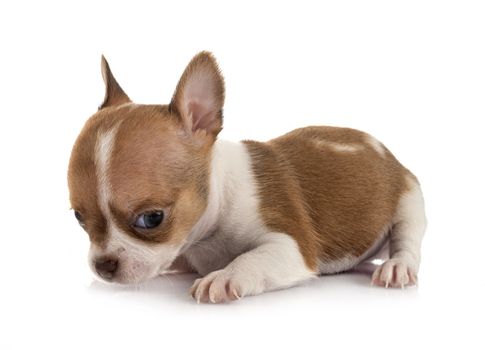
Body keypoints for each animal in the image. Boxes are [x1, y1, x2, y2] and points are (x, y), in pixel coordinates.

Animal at [67, 50, 424, 302]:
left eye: (151, 219)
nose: (103, 265)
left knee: (406, 240)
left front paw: (225, 277)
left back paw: (397, 267)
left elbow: (253, 259)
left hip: (410, 200)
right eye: (79, 219)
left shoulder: (289, 246)